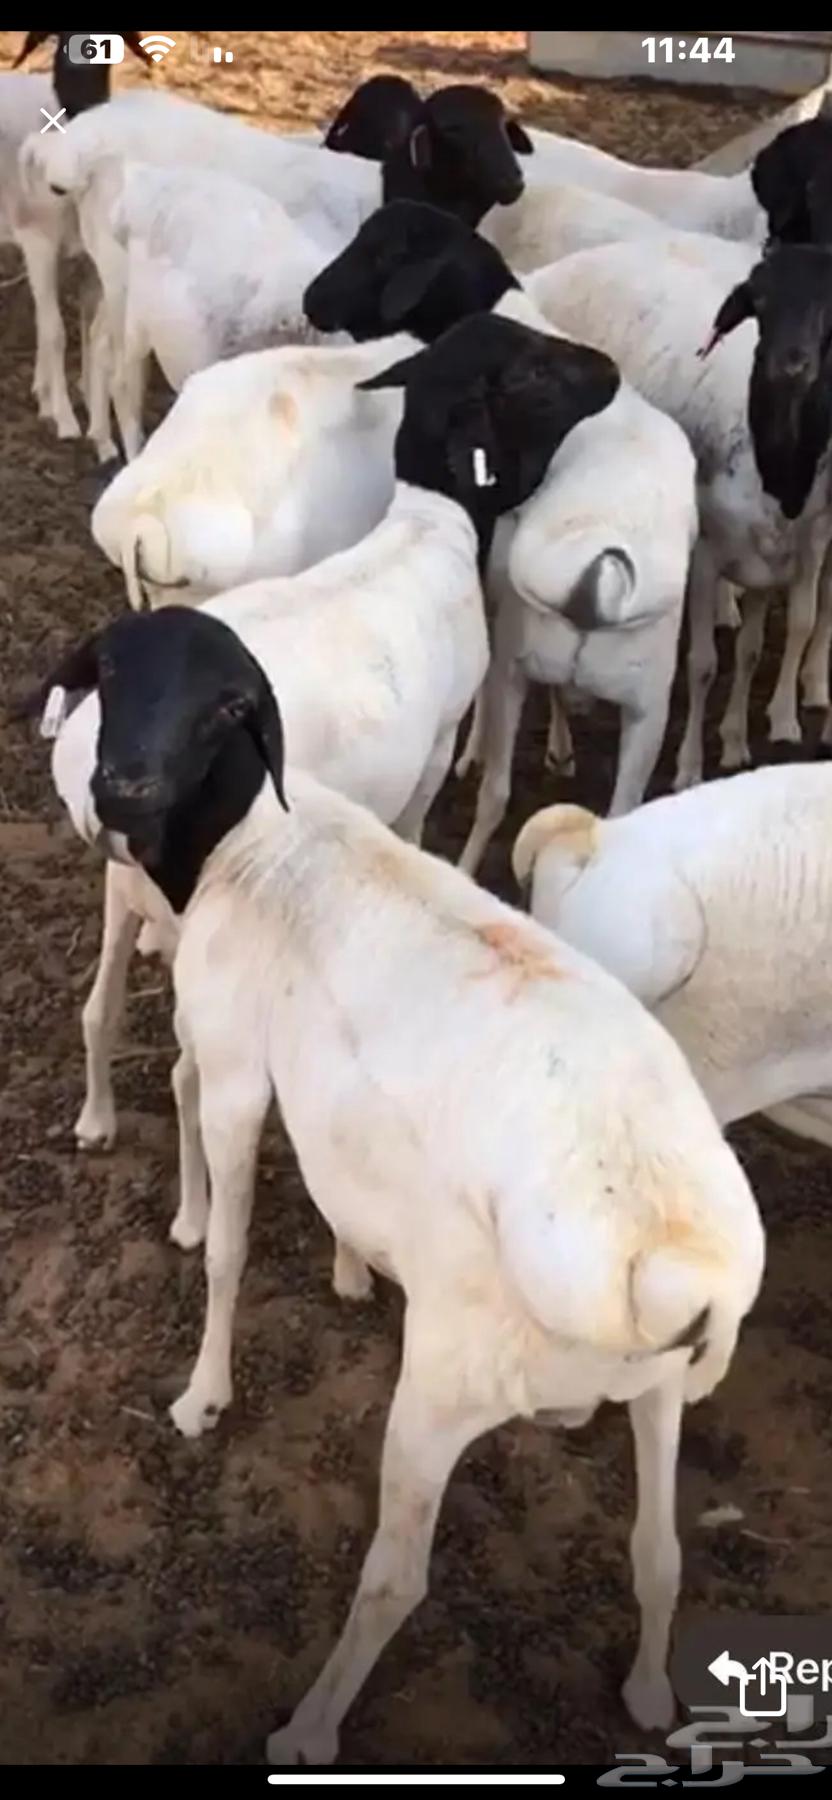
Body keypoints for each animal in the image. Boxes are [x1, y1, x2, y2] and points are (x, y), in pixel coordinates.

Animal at [41, 589, 764, 1759]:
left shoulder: (242, 1072)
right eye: (107, 669)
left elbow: (229, 1244)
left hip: (446, 1383)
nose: (122, 790)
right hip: (657, 1392)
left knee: (397, 1581)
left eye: (228, 706)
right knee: (659, 1554)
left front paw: (203, 1391)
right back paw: (654, 1692)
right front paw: (347, 1264)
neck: (256, 847)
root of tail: (677, 1263)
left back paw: (309, 1728)